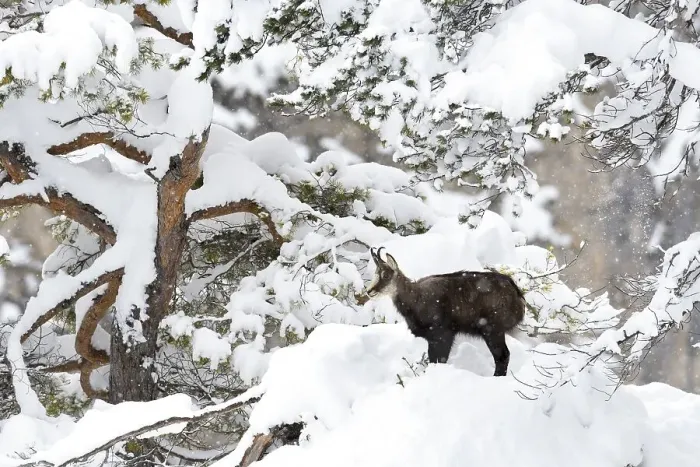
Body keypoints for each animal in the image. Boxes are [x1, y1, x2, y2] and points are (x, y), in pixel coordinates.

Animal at [365, 247, 526, 376]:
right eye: (376, 273)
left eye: (386, 275)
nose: (369, 291)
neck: (416, 298)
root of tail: (517, 295)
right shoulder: (432, 339)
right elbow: (433, 360)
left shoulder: (444, 334)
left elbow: (441, 359)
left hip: (492, 330)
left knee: (502, 356)